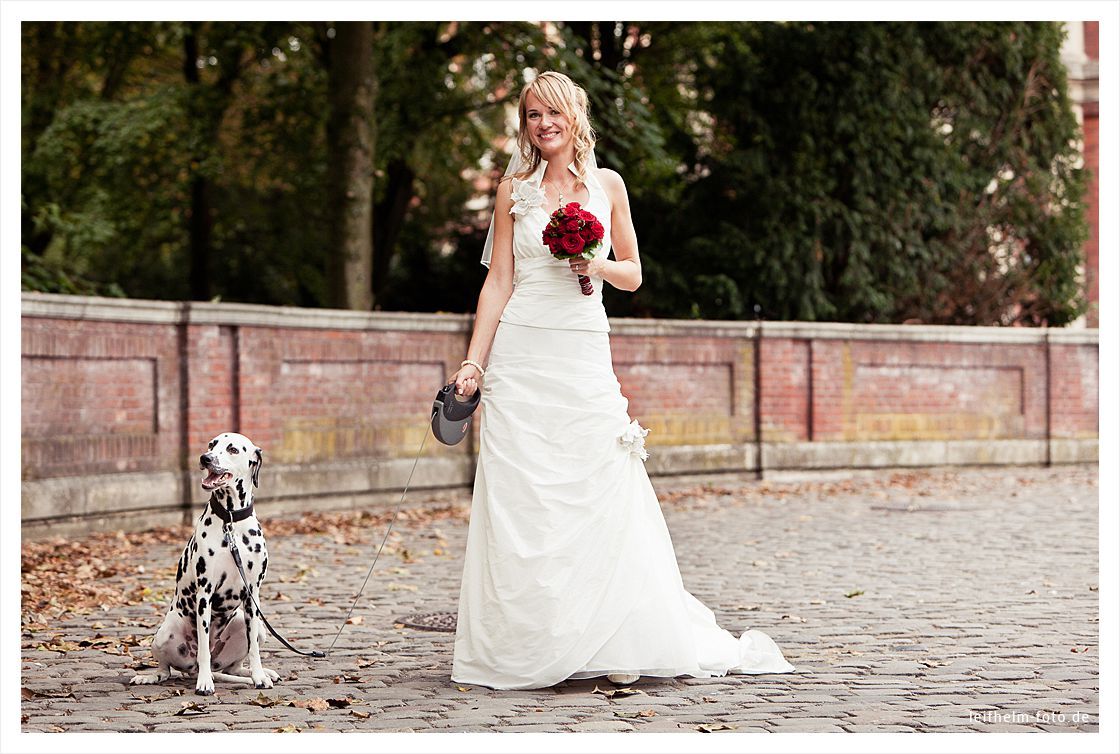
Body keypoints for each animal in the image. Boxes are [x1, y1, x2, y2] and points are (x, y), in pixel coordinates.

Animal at [129, 432, 280, 690]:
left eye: (232, 449)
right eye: (211, 444)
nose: (205, 458)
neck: (231, 522)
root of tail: (191, 669)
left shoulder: (252, 596)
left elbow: (254, 650)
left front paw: (259, 676)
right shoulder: (205, 594)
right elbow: (203, 650)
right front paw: (205, 682)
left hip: (254, 626)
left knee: (235, 667)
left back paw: (260, 673)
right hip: (164, 633)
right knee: (166, 669)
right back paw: (152, 676)